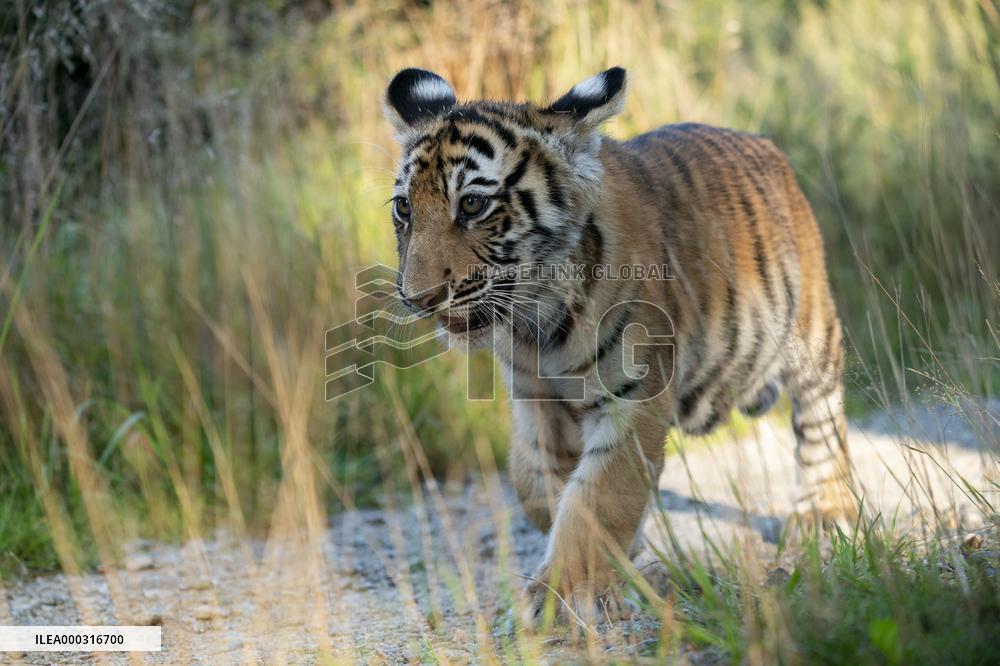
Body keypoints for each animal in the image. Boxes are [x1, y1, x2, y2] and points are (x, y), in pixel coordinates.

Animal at [382, 66, 855, 625]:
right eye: (404, 208)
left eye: (473, 204)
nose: (419, 298)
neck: (536, 320)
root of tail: (763, 143)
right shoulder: (534, 398)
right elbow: (536, 484)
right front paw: (622, 559)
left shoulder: (633, 398)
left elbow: (600, 495)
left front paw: (567, 596)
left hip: (811, 332)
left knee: (823, 422)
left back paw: (825, 514)